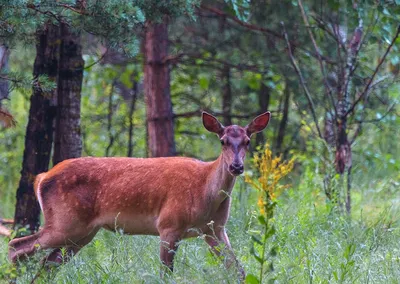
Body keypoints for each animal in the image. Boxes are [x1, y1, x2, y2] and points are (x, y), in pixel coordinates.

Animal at [9, 110, 270, 278]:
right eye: (223, 141)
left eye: (248, 141)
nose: (236, 167)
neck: (205, 193)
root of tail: (42, 177)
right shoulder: (169, 224)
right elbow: (166, 274)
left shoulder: (215, 229)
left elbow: (238, 270)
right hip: (65, 221)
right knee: (16, 246)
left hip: (82, 232)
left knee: (47, 265)